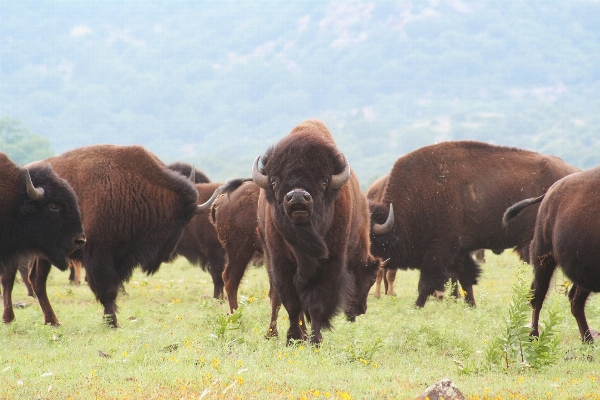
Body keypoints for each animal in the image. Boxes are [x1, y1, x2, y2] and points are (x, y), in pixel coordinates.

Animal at [27, 145, 200, 326]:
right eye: (181, 220)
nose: (168, 256)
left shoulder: (120, 258)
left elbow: (114, 288)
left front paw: (110, 320)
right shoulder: (99, 255)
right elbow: (107, 290)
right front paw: (112, 323)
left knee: (37, 281)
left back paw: (52, 321)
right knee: (38, 281)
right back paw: (53, 321)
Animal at [252, 120, 384, 346]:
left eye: (323, 182)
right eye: (275, 182)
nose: (297, 196)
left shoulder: (331, 263)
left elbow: (316, 304)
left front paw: (315, 340)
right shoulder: (281, 263)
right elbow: (292, 303)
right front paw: (293, 338)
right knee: (276, 297)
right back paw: (273, 334)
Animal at [368, 142, 580, 308]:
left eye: (371, 238)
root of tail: (574, 172)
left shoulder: (439, 249)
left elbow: (427, 282)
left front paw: (417, 305)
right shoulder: (459, 252)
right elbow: (466, 279)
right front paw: (471, 304)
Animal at [502, 169, 600, 344]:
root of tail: (549, 192)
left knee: (575, 301)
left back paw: (588, 341)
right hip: (543, 259)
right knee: (538, 297)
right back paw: (534, 336)